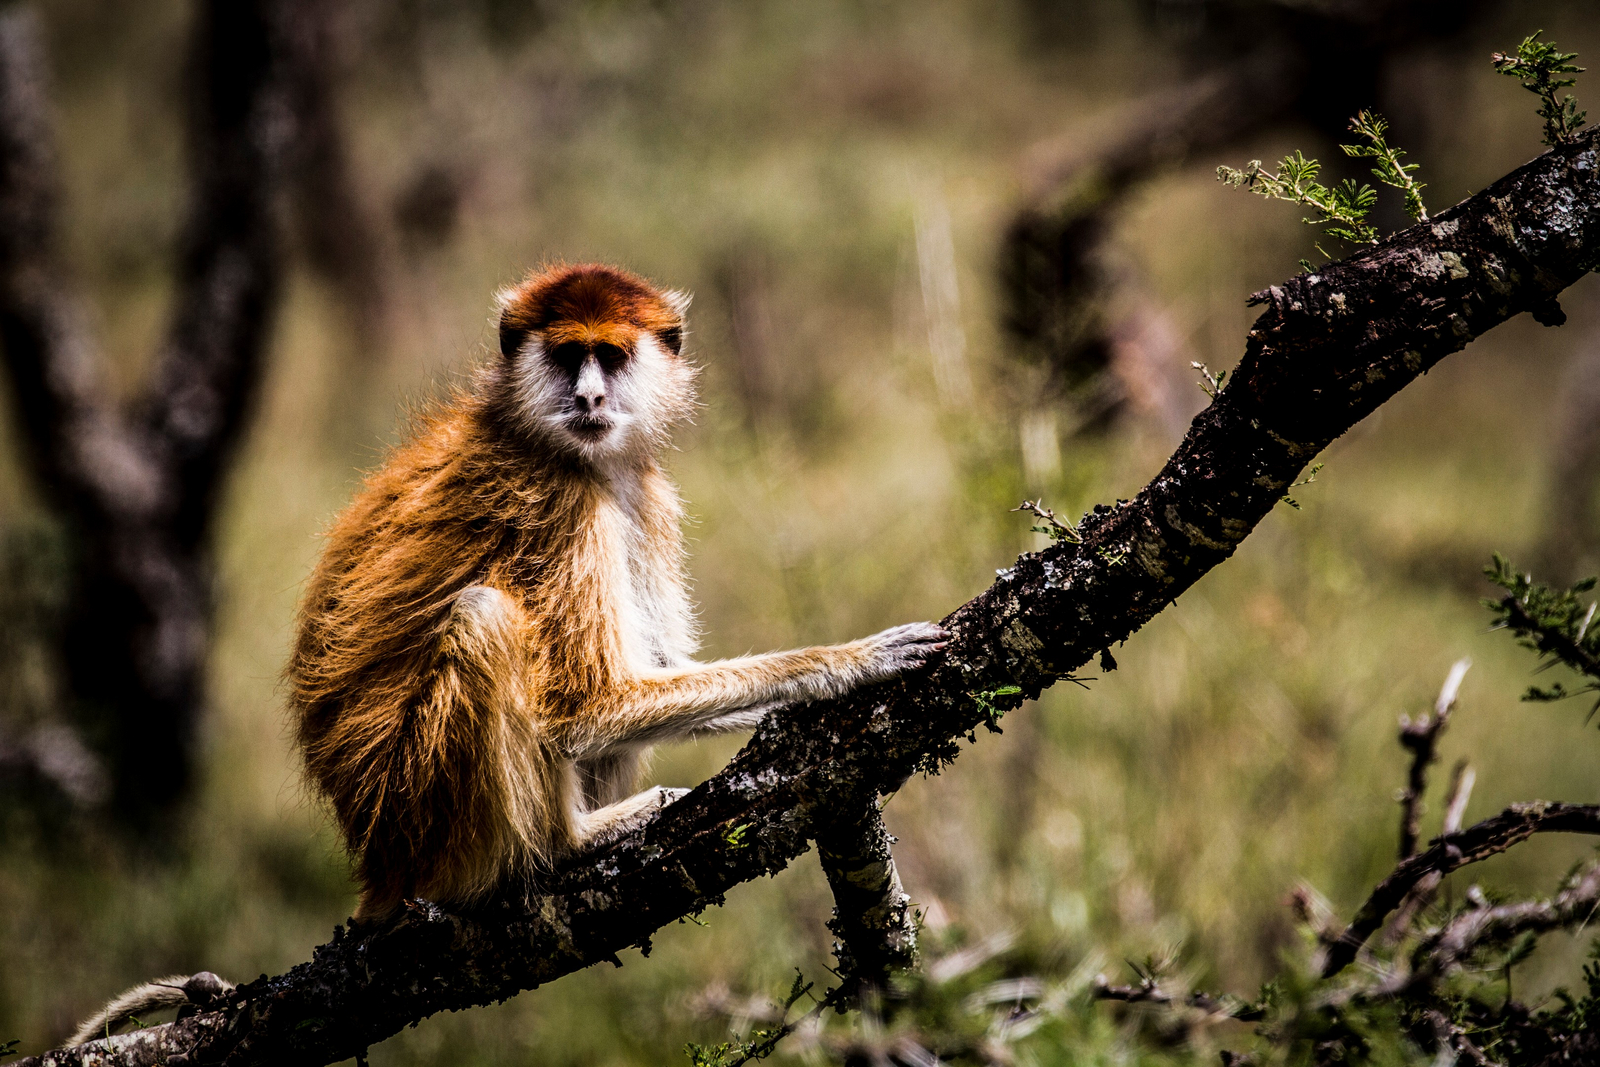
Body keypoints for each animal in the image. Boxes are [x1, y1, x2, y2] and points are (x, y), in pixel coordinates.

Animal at [286, 262, 947, 920]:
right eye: (567, 355)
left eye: (609, 355)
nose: (589, 397)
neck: (538, 435)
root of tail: (382, 864)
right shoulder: (563, 500)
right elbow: (587, 705)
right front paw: (850, 662)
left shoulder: (644, 489)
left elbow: (656, 668)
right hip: (424, 808)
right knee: (485, 614)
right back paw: (568, 842)